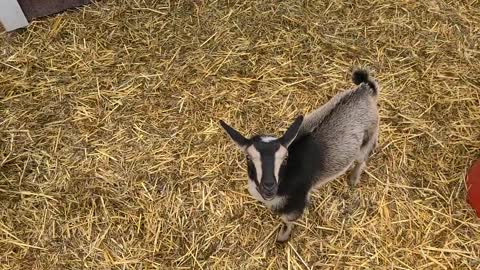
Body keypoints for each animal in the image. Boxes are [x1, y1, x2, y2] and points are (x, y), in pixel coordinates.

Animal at [219, 68, 380, 242]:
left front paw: (282, 237)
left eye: (285, 159)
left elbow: (287, 219)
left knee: (361, 159)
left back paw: (353, 179)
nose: (268, 187)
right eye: (248, 157)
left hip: (368, 136)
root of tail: (365, 90)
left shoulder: (297, 201)